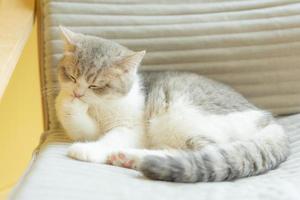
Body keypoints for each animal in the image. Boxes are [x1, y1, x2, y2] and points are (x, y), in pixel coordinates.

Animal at [55, 26, 288, 183]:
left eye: (96, 85)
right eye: (72, 76)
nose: (77, 93)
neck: (100, 107)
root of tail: (267, 119)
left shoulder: (131, 127)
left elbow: (110, 138)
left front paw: (89, 150)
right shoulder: (87, 128)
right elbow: (82, 127)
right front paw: (67, 103)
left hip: (180, 115)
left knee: (207, 151)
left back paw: (129, 156)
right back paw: (128, 158)